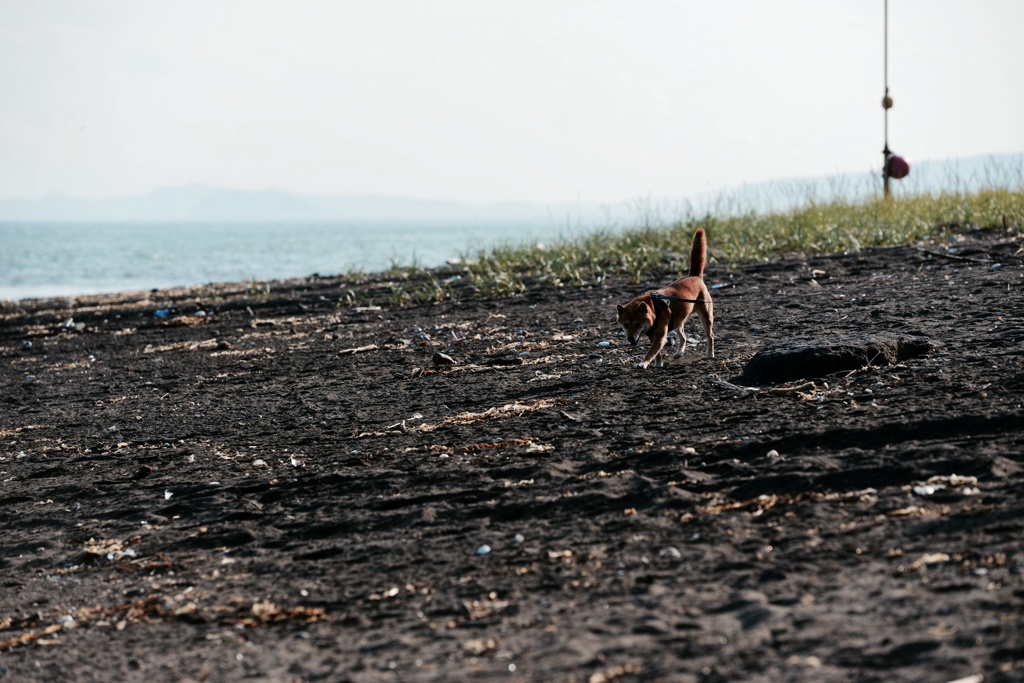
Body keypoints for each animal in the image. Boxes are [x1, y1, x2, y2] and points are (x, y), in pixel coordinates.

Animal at [610, 228, 716, 368]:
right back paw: (679, 352)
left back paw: (710, 353)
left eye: (637, 324)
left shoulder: (660, 337)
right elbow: (657, 353)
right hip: (678, 321)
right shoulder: (652, 336)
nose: (630, 339)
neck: (654, 309)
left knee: (710, 336)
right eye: (625, 325)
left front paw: (643, 363)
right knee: (683, 336)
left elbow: (651, 352)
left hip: (706, 317)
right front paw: (658, 364)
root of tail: (694, 276)